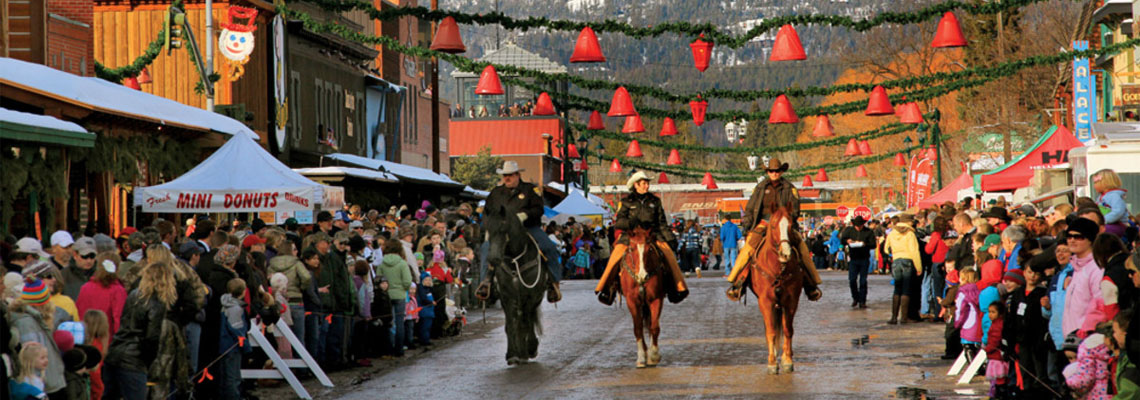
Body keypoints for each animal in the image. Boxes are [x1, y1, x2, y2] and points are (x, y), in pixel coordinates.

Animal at [483, 205, 549, 364]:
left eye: (503, 227)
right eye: (487, 229)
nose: (493, 258)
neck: (515, 261)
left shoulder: (530, 295)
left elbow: (526, 322)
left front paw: (527, 351)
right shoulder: (506, 296)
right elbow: (510, 325)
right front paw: (512, 353)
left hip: (535, 298)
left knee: (528, 318)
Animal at [620, 226, 665, 369]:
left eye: (650, 249)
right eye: (631, 249)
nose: (642, 276)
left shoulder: (656, 299)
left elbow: (654, 326)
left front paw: (654, 355)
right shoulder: (632, 301)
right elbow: (638, 328)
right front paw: (641, 357)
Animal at [738, 208, 811, 373]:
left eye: (791, 226)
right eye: (773, 226)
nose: (785, 253)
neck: (778, 268)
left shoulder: (791, 301)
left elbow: (788, 329)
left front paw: (787, 360)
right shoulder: (766, 301)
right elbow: (771, 331)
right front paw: (772, 362)